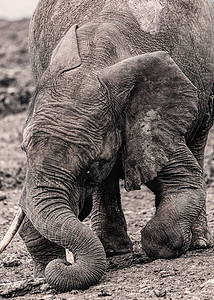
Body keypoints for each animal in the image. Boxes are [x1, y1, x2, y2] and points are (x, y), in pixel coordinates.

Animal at [2, 0, 214, 292]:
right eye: (24, 150)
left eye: (91, 167)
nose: (63, 263)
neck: (92, 63)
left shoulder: (150, 120)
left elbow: (185, 180)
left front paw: (168, 244)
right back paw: (113, 250)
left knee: (199, 138)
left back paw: (198, 243)